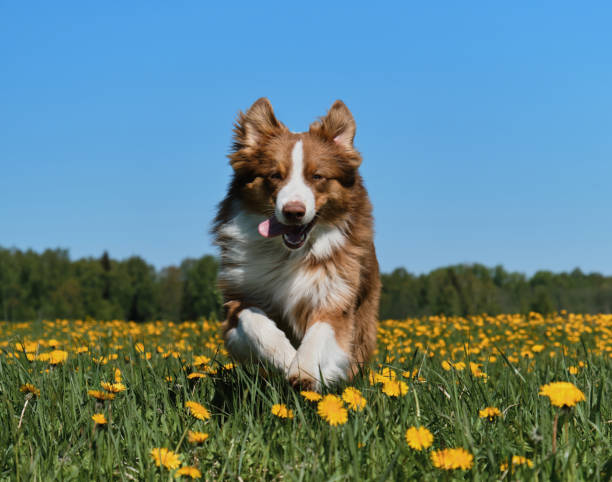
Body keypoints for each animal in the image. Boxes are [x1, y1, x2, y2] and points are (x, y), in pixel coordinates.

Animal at [213, 99, 380, 392]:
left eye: (317, 176)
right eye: (274, 175)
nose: (293, 212)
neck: (289, 255)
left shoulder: (335, 297)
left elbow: (319, 333)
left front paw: (304, 370)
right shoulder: (238, 299)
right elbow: (255, 321)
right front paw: (286, 357)